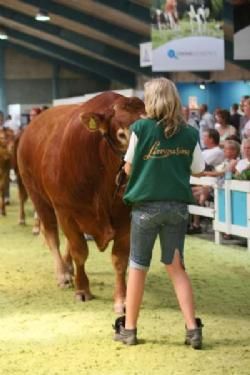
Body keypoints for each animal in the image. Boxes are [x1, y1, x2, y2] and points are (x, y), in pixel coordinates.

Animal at [17, 92, 145, 312]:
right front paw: (82, 289)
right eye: (122, 135)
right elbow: (80, 251)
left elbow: (119, 259)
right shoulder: (66, 211)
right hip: (38, 196)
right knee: (52, 235)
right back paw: (63, 273)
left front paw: (122, 300)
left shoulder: (125, 218)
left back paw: (68, 268)